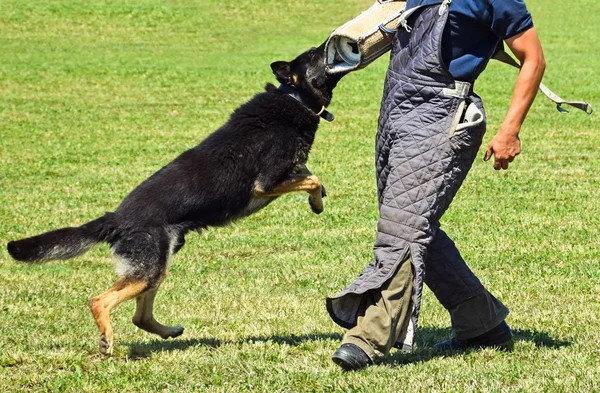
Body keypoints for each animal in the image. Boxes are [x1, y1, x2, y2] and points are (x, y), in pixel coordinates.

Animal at [5, 43, 342, 356]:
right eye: (315, 53)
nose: (331, 43)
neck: (294, 97)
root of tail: (116, 218)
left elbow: (310, 175)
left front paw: (318, 201)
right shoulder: (266, 183)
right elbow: (312, 178)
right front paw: (317, 200)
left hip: (159, 263)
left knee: (140, 317)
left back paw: (168, 332)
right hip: (149, 267)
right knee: (99, 301)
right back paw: (107, 341)